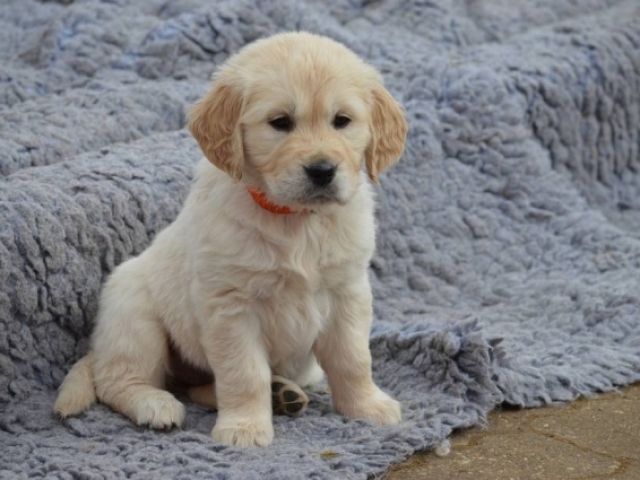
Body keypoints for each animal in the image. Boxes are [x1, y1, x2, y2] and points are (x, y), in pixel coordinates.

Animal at [52, 31, 408, 448]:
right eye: (280, 122)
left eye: (342, 121)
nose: (322, 170)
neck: (295, 221)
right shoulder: (231, 306)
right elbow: (243, 372)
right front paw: (244, 429)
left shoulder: (347, 292)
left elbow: (353, 358)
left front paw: (366, 407)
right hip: (135, 316)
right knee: (118, 379)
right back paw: (155, 404)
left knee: (199, 387)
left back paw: (282, 394)